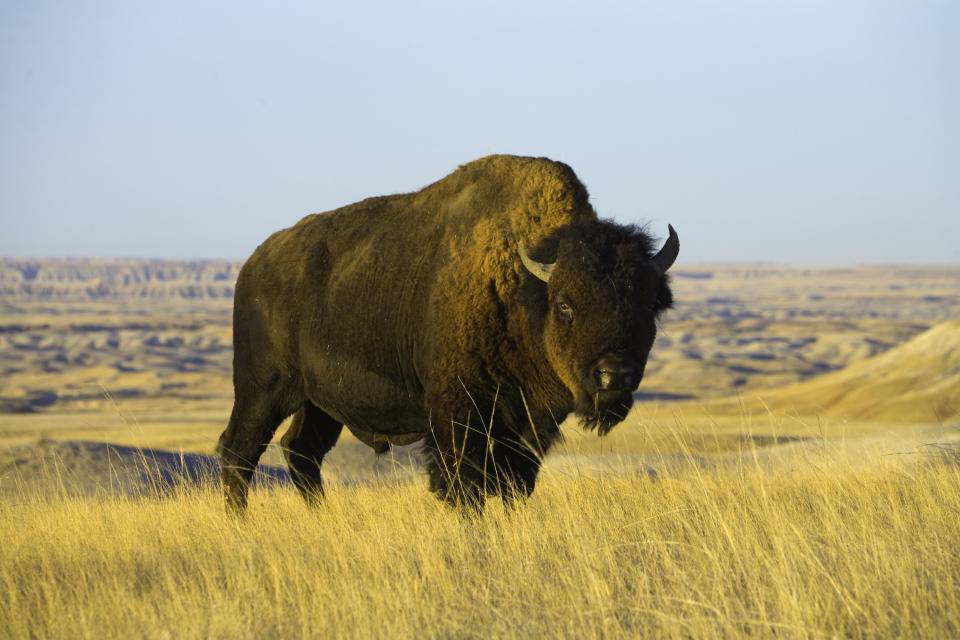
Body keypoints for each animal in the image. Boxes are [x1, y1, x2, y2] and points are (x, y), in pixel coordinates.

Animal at [219, 156, 676, 516]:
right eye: (565, 304)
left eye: (650, 303)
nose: (613, 375)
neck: (523, 289)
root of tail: (253, 264)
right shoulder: (458, 413)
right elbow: (463, 484)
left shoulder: (527, 427)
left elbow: (515, 485)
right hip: (264, 389)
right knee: (238, 450)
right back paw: (240, 522)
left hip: (320, 403)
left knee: (301, 451)